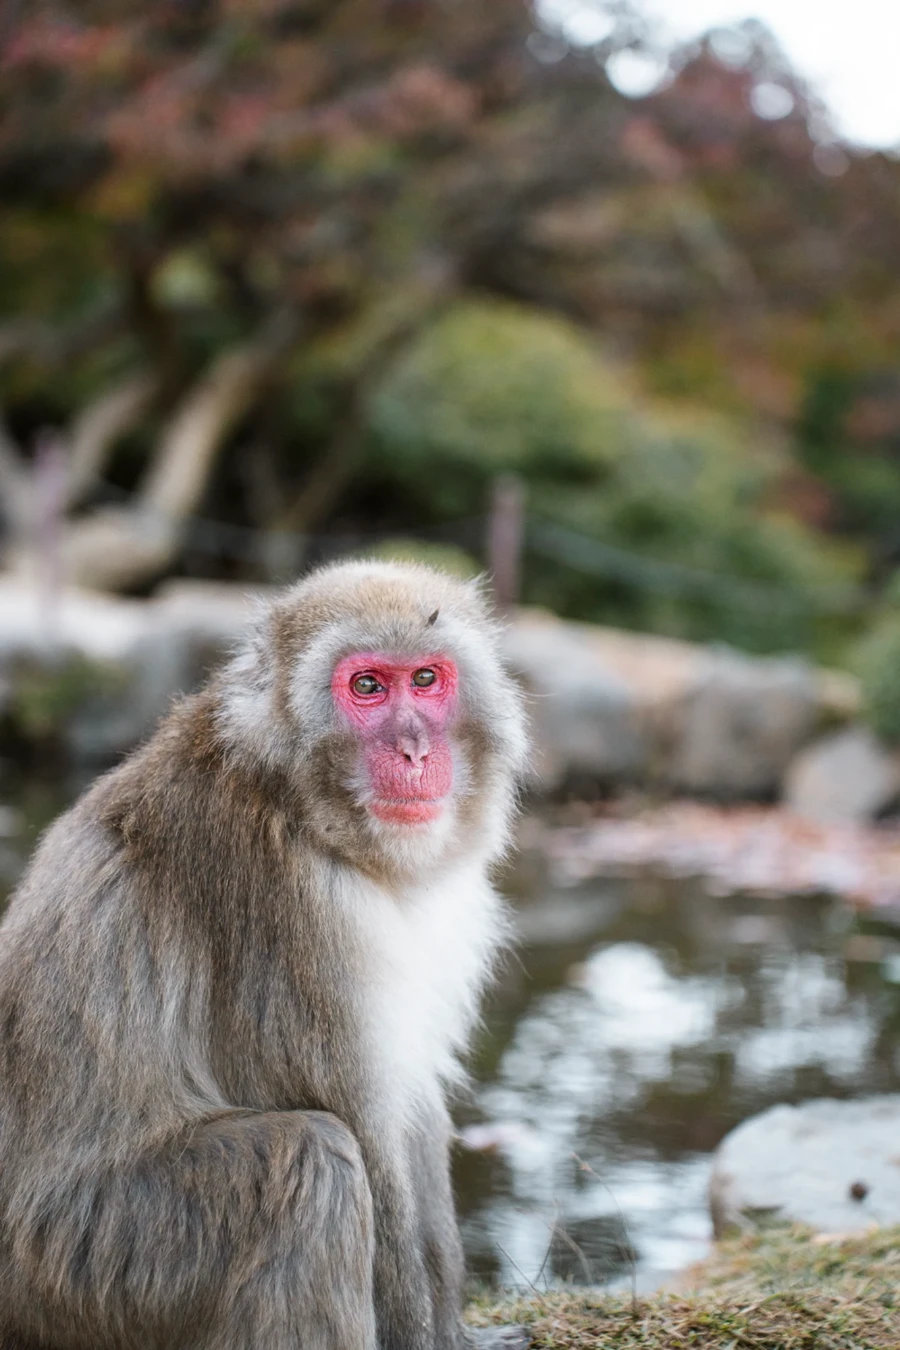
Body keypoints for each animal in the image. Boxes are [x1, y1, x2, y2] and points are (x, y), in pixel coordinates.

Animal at [0, 560, 529, 1350]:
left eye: (426, 679)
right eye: (367, 686)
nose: (415, 751)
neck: (306, 808)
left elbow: (411, 1106)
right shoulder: (281, 906)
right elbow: (358, 1121)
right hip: (86, 1263)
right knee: (315, 1164)